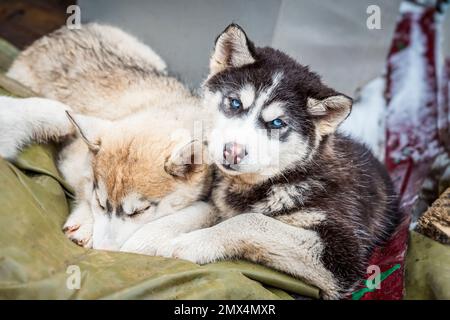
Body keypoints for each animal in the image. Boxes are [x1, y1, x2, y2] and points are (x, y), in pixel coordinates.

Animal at [0, 24, 214, 250]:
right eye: (101, 203)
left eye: (140, 211)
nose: (103, 250)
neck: (162, 107)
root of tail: (65, 29)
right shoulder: (72, 160)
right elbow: (84, 188)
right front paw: (85, 220)